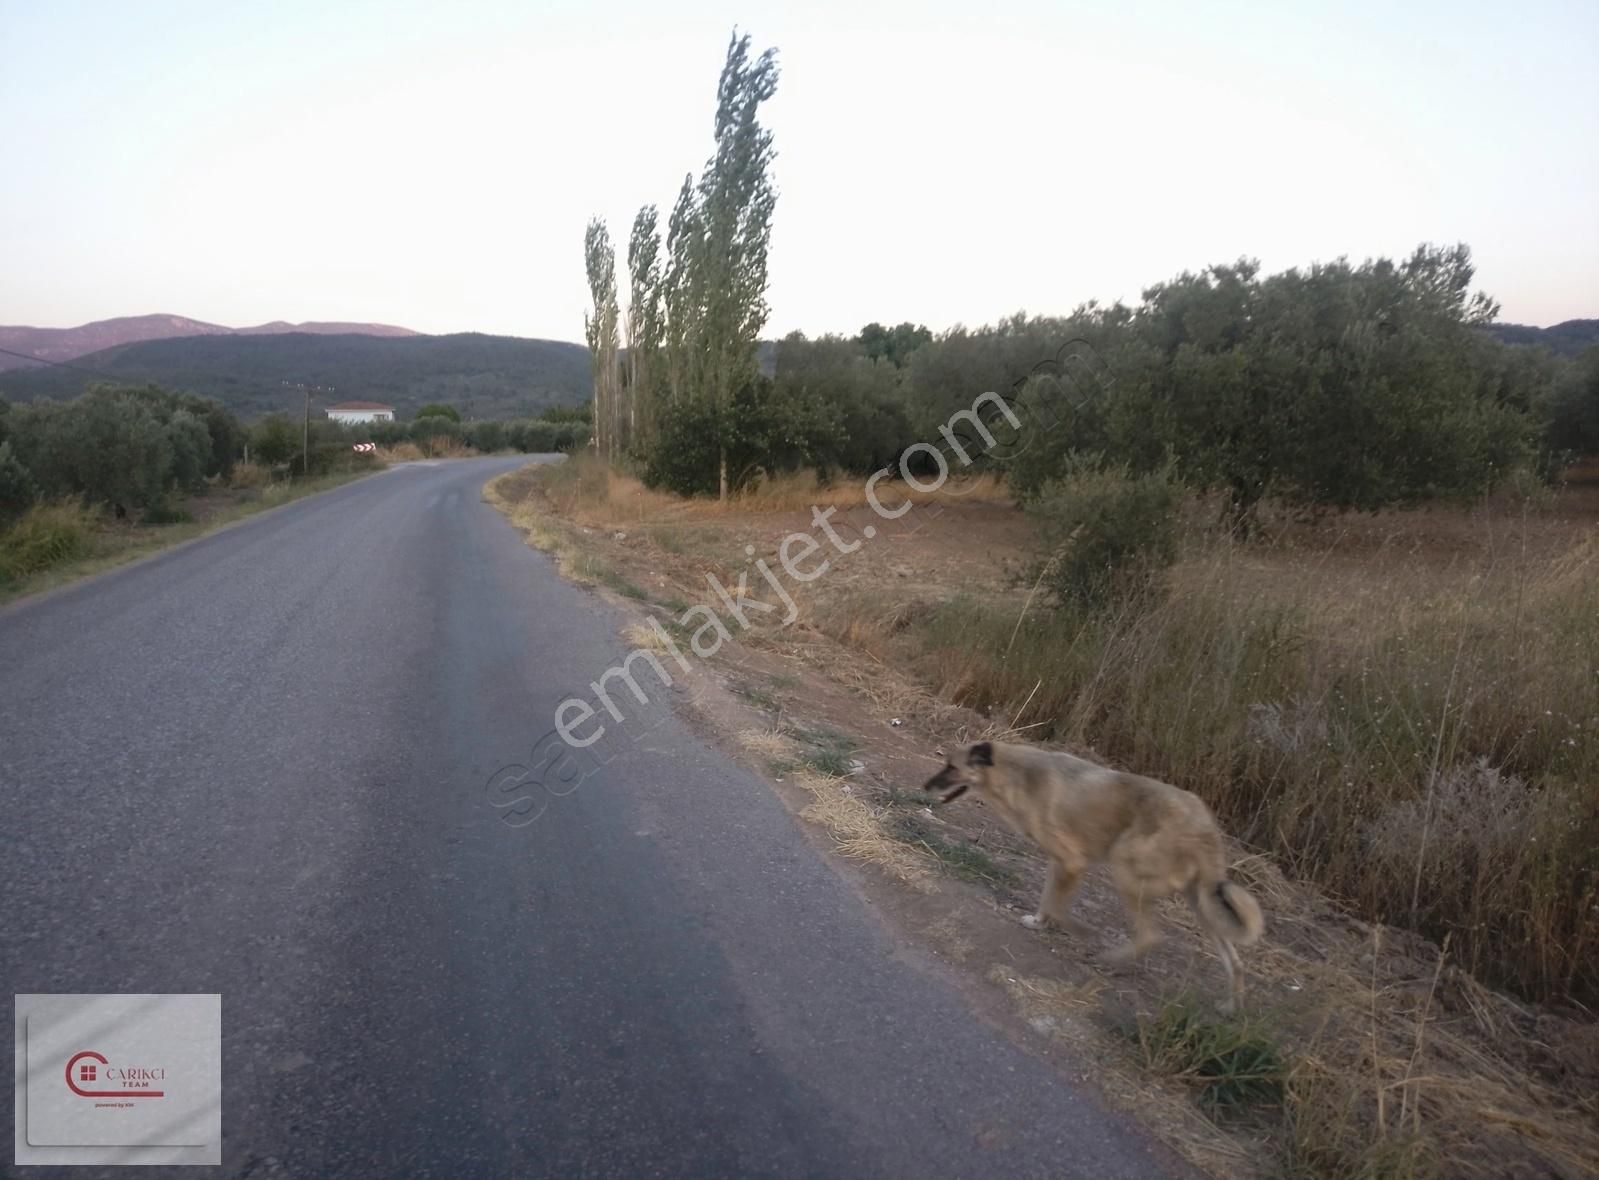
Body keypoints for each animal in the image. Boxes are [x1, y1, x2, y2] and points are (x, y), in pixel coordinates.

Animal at [927, 738, 1260, 1004]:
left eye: (951, 766)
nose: (924, 787)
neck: (1017, 774)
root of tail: (1208, 829)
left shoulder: (1073, 862)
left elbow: (1057, 907)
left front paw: (1081, 932)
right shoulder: (1058, 863)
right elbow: (1048, 900)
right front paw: (1038, 923)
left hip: (1126, 872)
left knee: (1151, 936)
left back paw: (1111, 961)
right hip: (1202, 905)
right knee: (1236, 963)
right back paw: (1230, 1007)